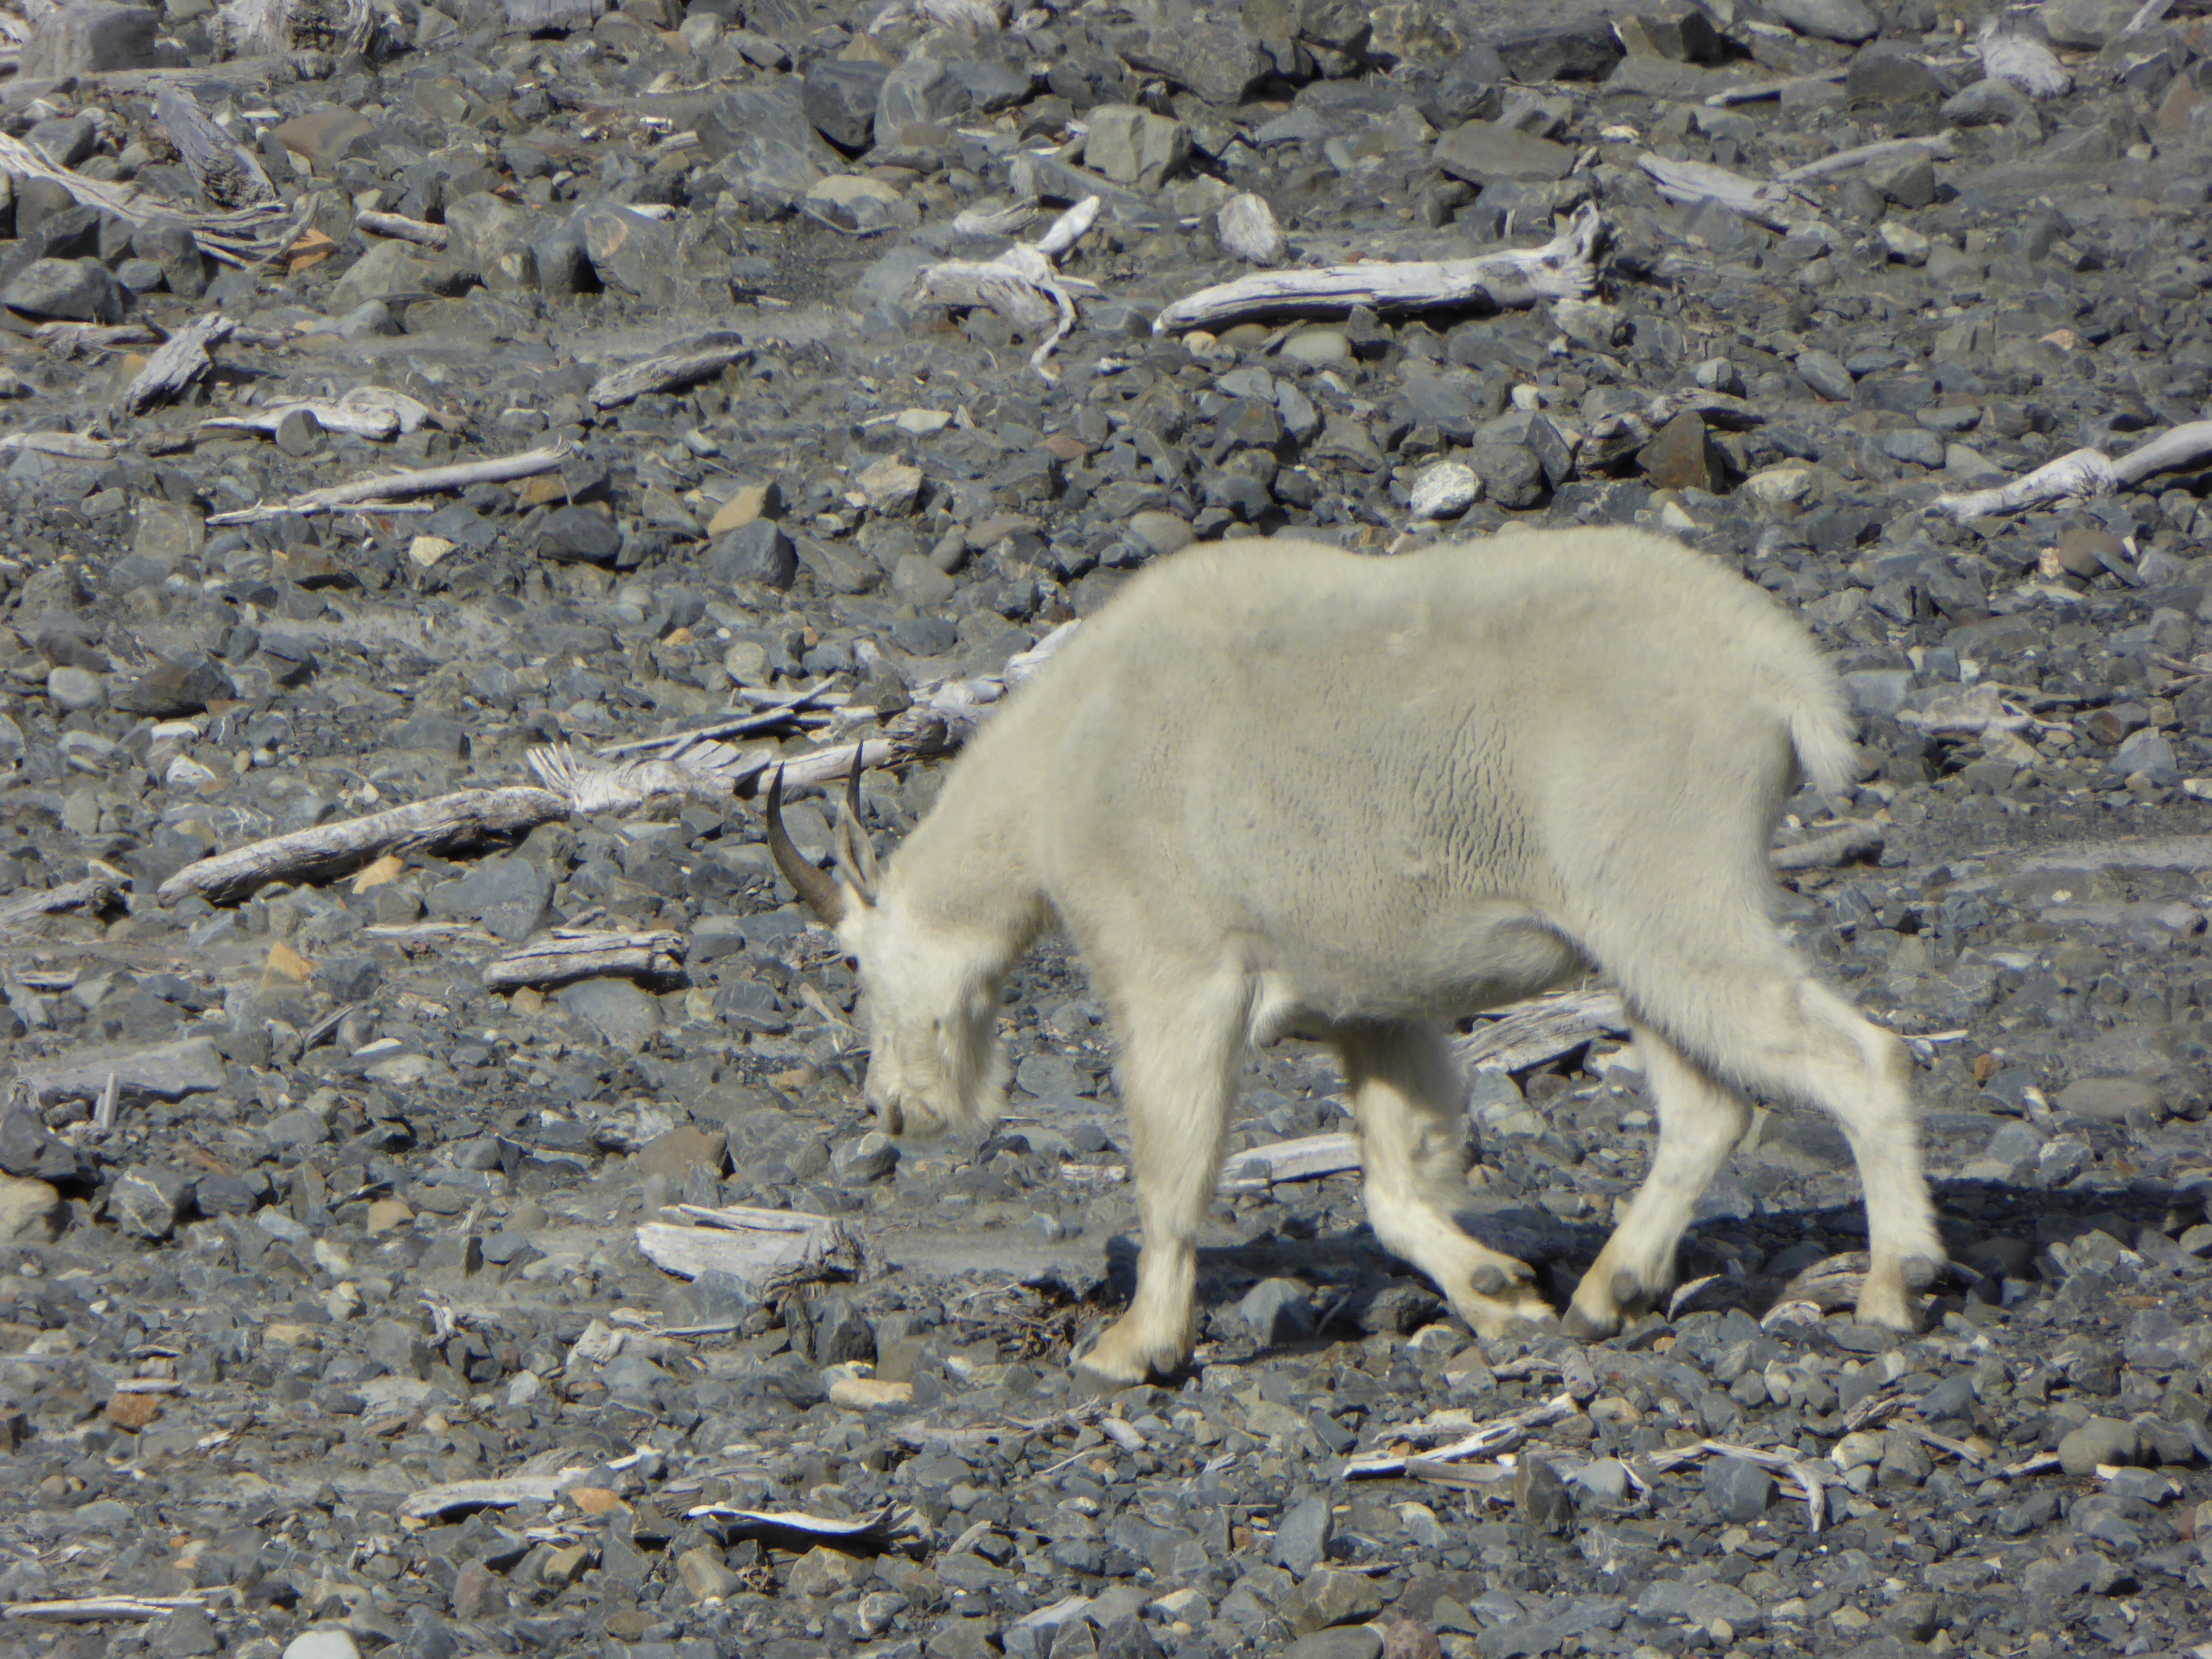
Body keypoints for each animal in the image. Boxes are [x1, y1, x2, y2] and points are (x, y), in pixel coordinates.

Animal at [769, 533, 1946, 1389]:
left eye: (857, 966)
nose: (894, 1109)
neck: (1064, 758)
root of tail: (1785, 683)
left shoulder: (1174, 966)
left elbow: (1171, 1164)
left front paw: (1134, 1345)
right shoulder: (1374, 1004)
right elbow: (1395, 1176)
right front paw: (1498, 1292)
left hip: (1671, 883)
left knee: (1856, 1056)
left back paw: (1896, 1282)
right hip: (1638, 931)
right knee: (1706, 1105)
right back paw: (1604, 1293)